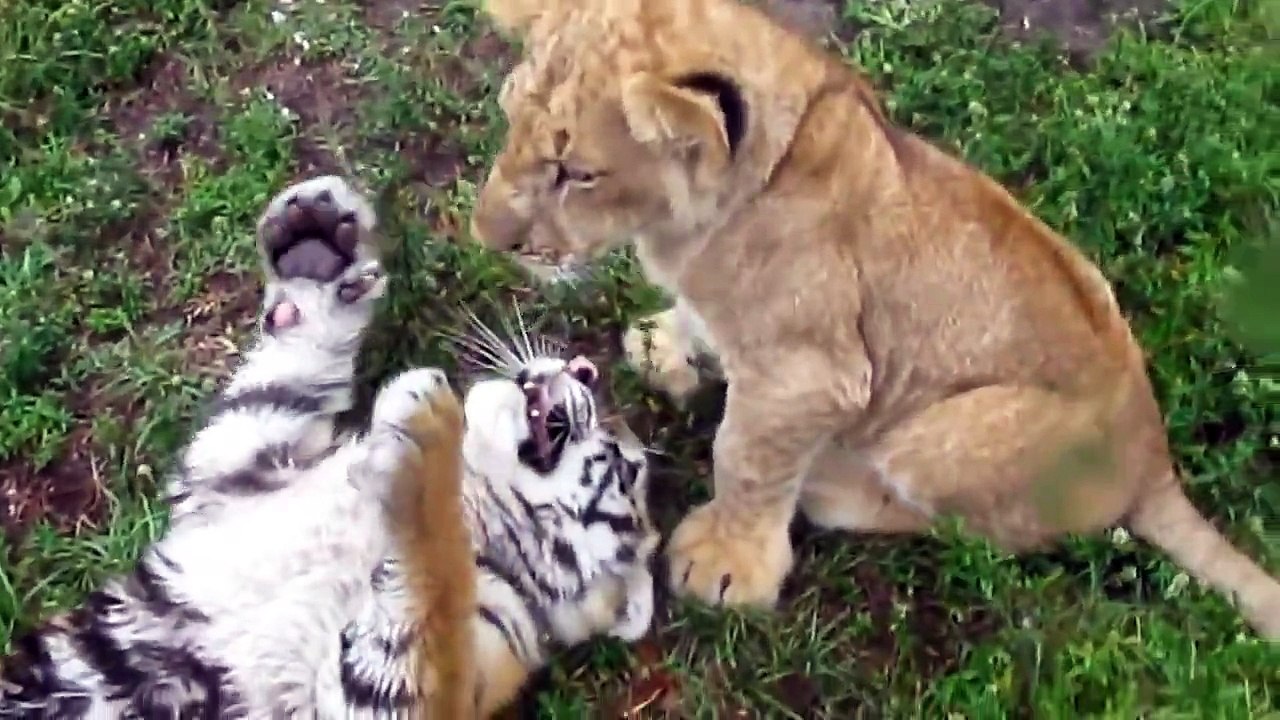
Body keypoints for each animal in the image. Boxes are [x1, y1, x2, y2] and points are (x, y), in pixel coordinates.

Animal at [464, 0, 1280, 639]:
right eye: (506, 116)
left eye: (578, 174)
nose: (486, 236)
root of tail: (1154, 460)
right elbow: (699, 328)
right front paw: (667, 346)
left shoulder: (811, 377)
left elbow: (746, 456)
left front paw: (728, 564)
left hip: (942, 436)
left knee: (976, 531)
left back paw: (832, 483)